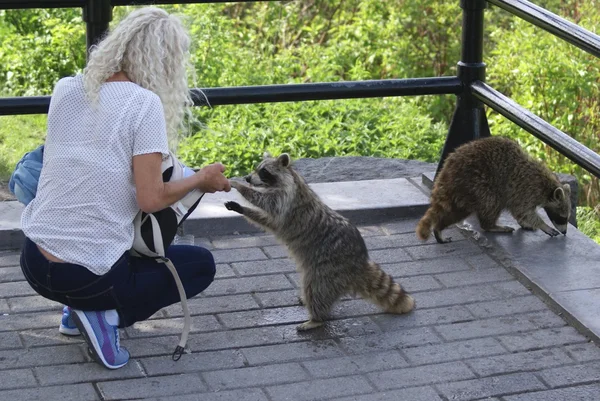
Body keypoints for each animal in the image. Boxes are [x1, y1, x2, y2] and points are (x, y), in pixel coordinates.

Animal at [223, 152, 414, 330]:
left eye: (263, 171)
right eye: (256, 167)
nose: (247, 178)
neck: (289, 176)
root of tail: (359, 262)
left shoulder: (285, 199)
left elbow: (264, 201)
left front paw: (238, 185)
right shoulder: (279, 215)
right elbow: (263, 218)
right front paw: (241, 207)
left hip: (328, 269)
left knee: (316, 290)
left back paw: (316, 319)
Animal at [418, 137, 572, 244]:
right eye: (562, 217)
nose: (565, 232)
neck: (548, 186)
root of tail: (448, 170)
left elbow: (519, 212)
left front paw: (524, 223)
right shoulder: (525, 188)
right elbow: (523, 211)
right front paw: (542, 225)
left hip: (464, 191)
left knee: (457, 212)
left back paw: (438, 228)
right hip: (477, 183)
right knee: (491, 203)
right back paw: (490, 225)